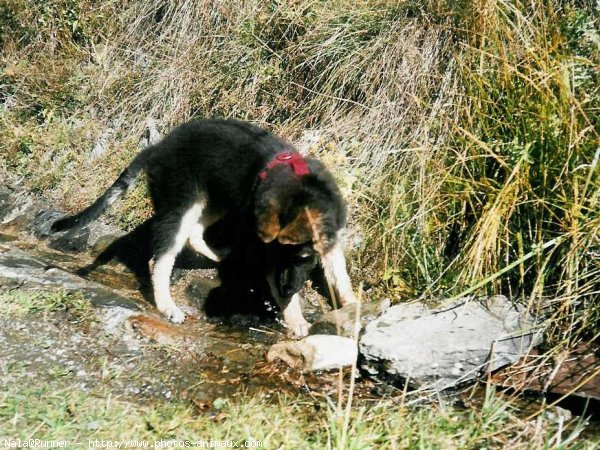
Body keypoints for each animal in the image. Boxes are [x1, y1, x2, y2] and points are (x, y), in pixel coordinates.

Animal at [51, 118, 356, 336]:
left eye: (303, 258)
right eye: (276, 258)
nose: (287, 289)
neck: (300, 190)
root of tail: (155, 148)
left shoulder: (331, 241)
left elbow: (341, 276)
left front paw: (352, 304)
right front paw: (296, 319)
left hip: (212, 200)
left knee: (194, 234)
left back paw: (222, 256)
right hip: (181, 204)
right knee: (160, 258)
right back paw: (168, 306)